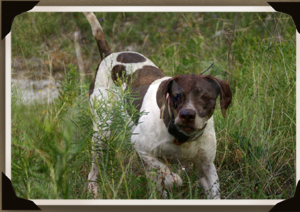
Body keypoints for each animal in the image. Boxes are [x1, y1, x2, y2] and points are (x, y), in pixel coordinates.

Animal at [83, 12, 233, 199]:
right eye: (176, 97)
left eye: (205, 97)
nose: (187, 115)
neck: (181, 138)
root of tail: (108, 55)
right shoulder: (140, 146)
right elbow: (169, 177)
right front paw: (173, 180)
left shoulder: (207, 167)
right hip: (101, 134)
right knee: (94, 167)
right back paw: (93, 188)